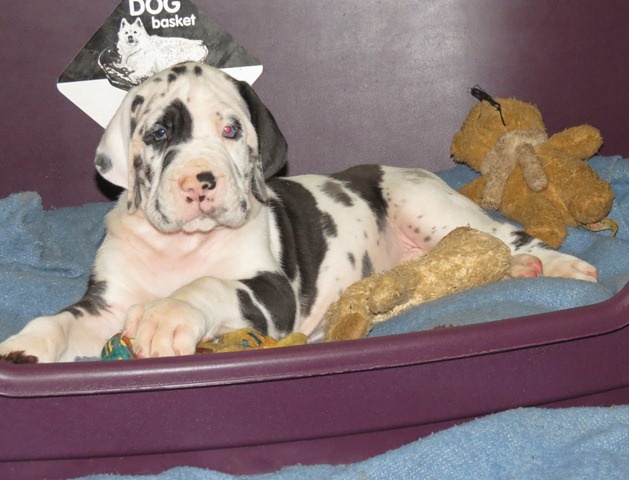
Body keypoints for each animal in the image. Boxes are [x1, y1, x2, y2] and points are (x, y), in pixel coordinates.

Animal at [0, 62, 598, 363]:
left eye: (230, 129)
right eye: (160, 133)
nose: (201, 182)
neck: (183, 247)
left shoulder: (270, 292)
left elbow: (209, 285)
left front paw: (169, 315)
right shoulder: (105, 305)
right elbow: (58, 320)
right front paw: (24, 350)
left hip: (427, 205)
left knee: (505, 237)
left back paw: (557, 267)